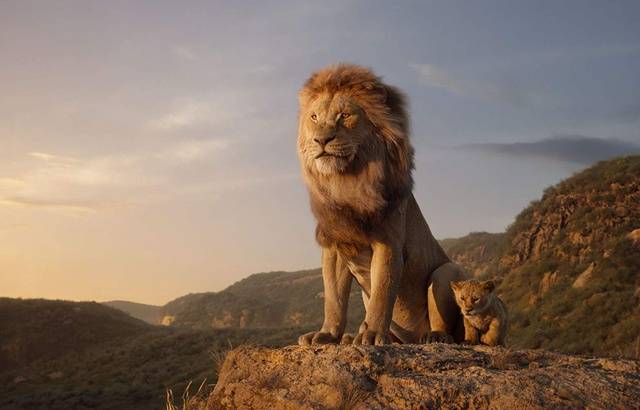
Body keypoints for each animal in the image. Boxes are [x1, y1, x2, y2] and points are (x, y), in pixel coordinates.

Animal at [296, 64, 469, 346]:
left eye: (345, 115)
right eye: (314, 117)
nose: (321, 140)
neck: (347, 182)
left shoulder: (388, 242)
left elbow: (382, 292)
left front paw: (372, 334)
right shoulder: (335, 246)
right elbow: (333, 298)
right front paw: (327, 334)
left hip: (446, 271)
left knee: (446, 323)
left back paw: (433, 337)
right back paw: (352, 337)